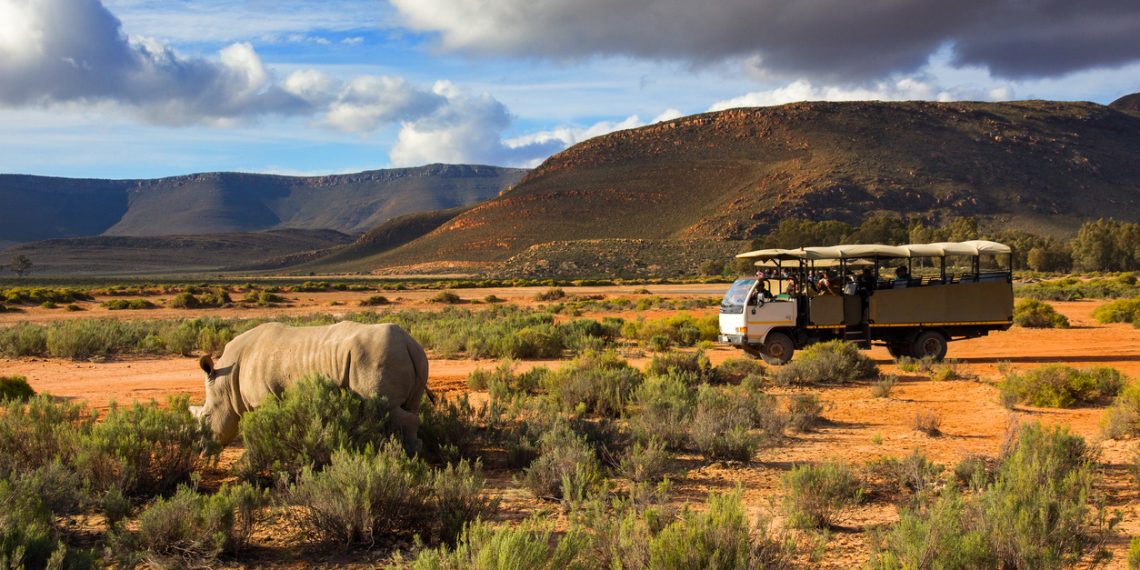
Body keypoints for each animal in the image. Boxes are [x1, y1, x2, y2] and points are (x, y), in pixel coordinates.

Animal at [193, 321, 430, 450]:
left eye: (206, 417)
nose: (201, 448)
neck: (225, 382)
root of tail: (409, 343)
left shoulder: (262, 400)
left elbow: (257, 430)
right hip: (411, 357)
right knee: (408, 407)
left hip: (377, 357)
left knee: (388, 408)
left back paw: (408, 454)